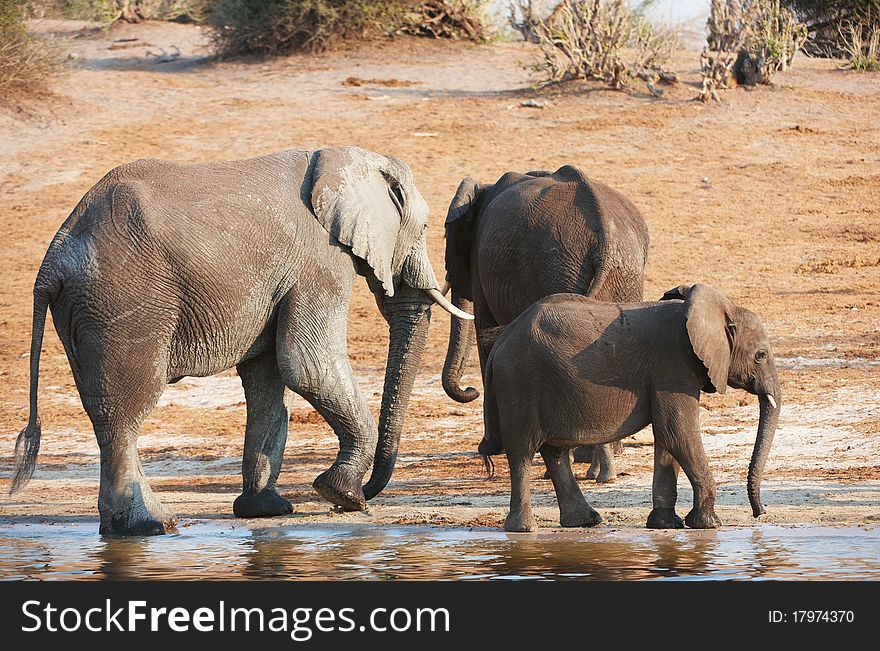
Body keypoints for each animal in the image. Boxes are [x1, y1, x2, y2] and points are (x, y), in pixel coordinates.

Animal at [10, 146, 470, 536]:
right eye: (425, 228)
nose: (367, 494)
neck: (339, 157)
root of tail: (52, 259)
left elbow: (267, 382)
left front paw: (266, 511)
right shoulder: (320, 261)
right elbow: (308, 365)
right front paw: (341, 494)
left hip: (85, 310)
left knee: (102, 410)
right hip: (123, 302)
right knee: (126, 411)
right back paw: (151, 527)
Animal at [444, 167, 648, 484]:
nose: (469, 390)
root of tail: (605, 237)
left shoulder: (479, 265)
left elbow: (485, 337)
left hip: (559, 267)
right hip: (622, 273)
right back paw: (600, 467)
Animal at [478, 286, 780, 536]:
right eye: (761, 355)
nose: (760, 513)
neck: (719, 308)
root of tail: (501, 342)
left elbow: (667, 438)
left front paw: (666, 524)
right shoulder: (674, 366)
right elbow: (678, 433)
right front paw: (708, 524)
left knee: (554, 452)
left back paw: (585, 521)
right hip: (519, 383)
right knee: (522, 451)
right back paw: (525, 529)